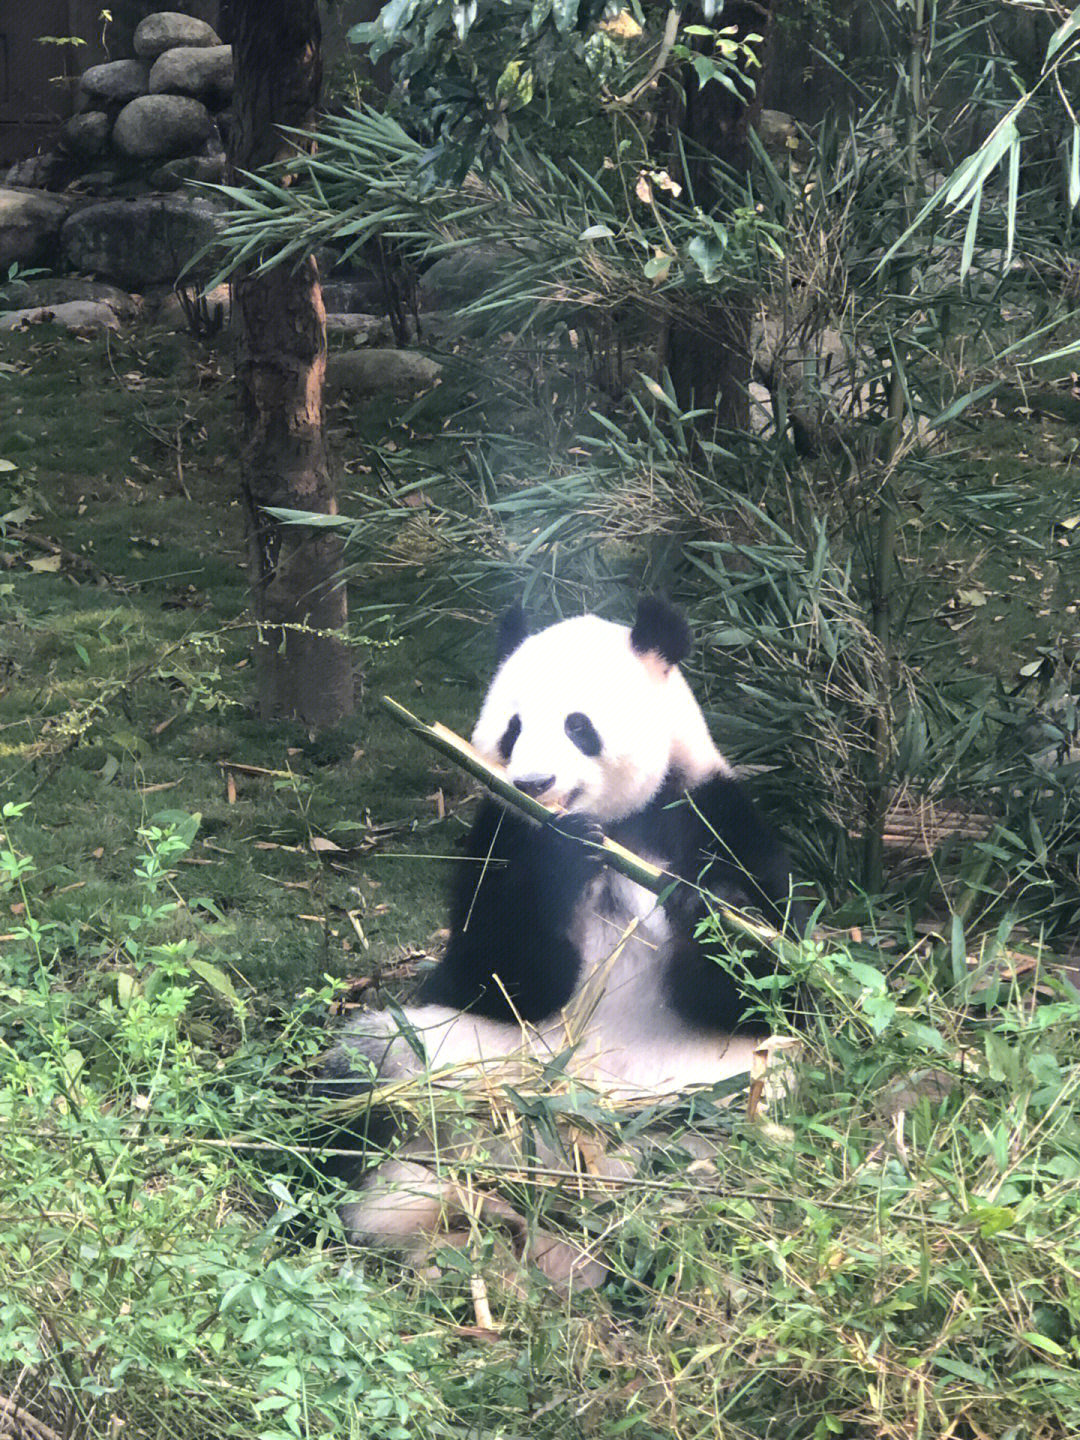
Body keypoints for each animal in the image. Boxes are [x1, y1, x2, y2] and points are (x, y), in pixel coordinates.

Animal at [316, 596, 806, 1284]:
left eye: (579, 726)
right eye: (512, 729)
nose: (534, 784)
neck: (613, 828)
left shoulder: (713, 816)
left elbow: (770, 985)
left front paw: (710, 906)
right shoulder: (498, 834)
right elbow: (497, 972)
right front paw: (561, 851)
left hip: (720, 1102)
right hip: (454, 1068)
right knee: (361, 1083)